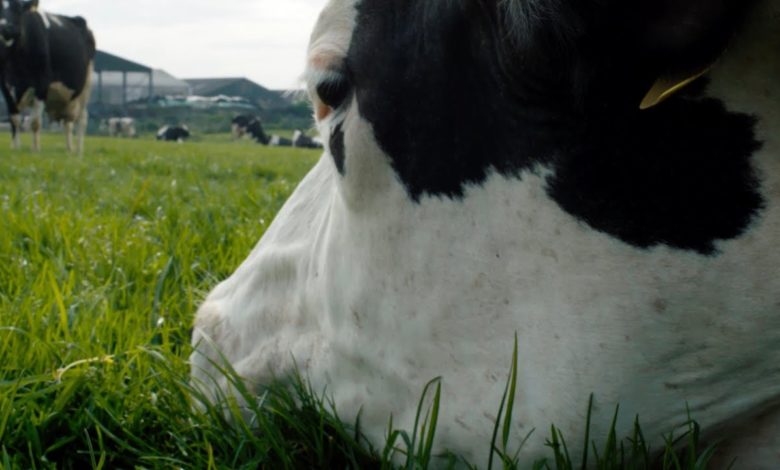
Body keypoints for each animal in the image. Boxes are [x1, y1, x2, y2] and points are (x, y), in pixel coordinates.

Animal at [0, 0, 96, 155]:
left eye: (18, 9)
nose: (6, 28)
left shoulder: (42, 84)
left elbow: (35, 122)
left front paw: (35, 150)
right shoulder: (6, 85)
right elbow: (14, 119)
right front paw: (15, 147)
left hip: (85, 87)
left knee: (82, 119)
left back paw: (78, 151)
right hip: (66, 99)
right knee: (67, 123)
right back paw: (69, 149)